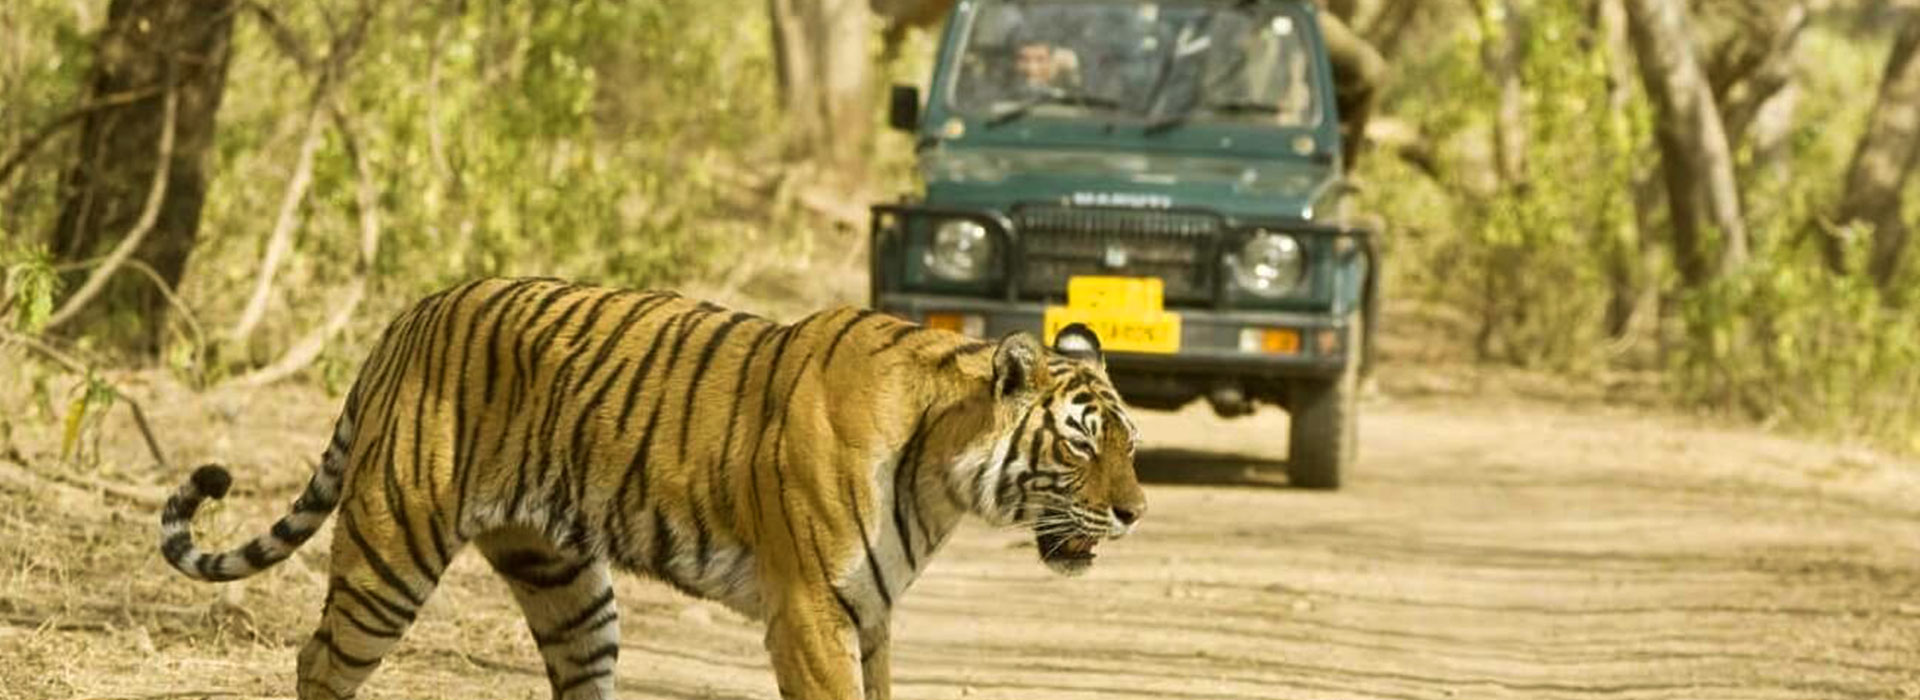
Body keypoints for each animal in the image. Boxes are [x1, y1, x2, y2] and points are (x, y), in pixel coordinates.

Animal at [157, 276, 1136, 694]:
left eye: (1131, 445)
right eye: (1081, 444)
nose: (1134, 513)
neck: (941, 472)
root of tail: (409, 313)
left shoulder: (871, 613)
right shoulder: (811, 614)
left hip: (566, 584)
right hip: (392, 550)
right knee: (320, 659)